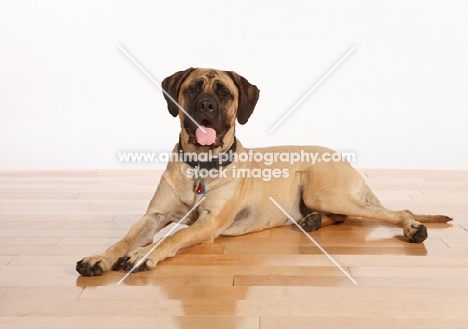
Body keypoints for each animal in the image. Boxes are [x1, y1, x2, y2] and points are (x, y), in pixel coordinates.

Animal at [76, 68, 450, 276]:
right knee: (346, 216)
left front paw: (143, 255)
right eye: (194, 88)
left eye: (224, 93)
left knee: (394, 211)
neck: (200, 167)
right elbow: (126, 238)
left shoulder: (208, 223)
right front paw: (101, 258)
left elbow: (175, 236)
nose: (206, 106)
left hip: (324, 191)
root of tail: (343, 159)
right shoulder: (153, 216)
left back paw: (413, 227)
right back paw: (312, 221)